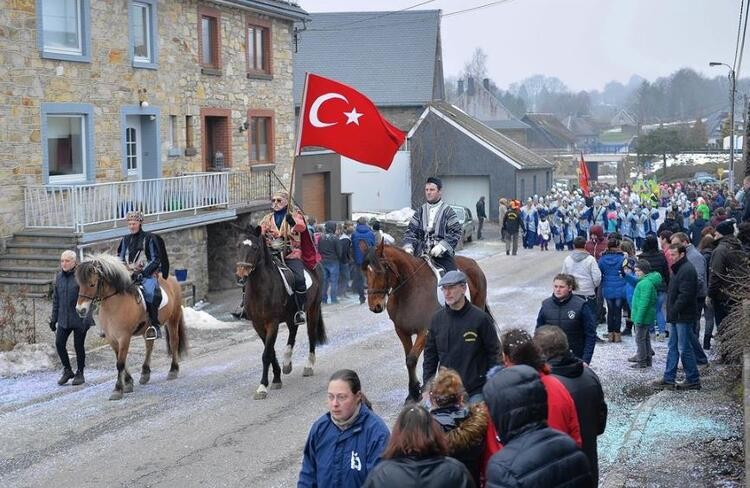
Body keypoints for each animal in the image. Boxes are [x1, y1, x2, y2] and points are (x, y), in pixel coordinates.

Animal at [75, 255, 189, 400]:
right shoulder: (112, 339)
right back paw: (145, 373)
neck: (115, 303)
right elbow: (120, 359)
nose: (80, 310)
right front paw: (128, 382)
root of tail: (172, 278)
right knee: (149, 346)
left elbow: (120, 363)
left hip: (173, 318)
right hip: (148, 328)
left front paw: (118, 389)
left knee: (174, 341)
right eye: (79, 285)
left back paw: (173, 370)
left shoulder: (124, 337)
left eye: (92, 284)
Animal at [235, 227, 328, 398]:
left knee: (311, 335)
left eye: (255, 248)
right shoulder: (258, 325)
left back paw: (308, 365)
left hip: (313, 308)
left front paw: (262, 387)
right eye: (238, 246)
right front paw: (276, 378)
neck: (261, 289)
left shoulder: (272, 323)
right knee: (293, 332)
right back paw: (287, 363)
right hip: (291, 316)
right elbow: (270, 352)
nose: (241, 276)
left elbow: (266, 354)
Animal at [360, 242, 490, 402]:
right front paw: (413, 391)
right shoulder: (401, 331)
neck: (410, 291)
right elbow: (408, 359)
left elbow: (412, 359)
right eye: (365, 271)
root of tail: (473, 263)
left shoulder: (425, 331)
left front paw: (415, 391)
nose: (375, 306)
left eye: (381, 270)